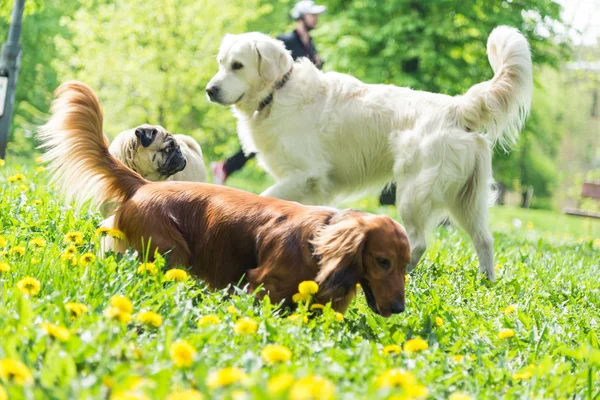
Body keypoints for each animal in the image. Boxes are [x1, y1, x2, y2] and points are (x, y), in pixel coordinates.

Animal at [38, 81, 412, 318]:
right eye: (382, 261)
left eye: (406, 264)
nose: (399, 309)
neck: (318, 240)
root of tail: (142, 185)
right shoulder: (263, 285)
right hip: (169, 255)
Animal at [207, 27, 536, 282]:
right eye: (221, 63)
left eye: (238, 65)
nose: (210, 90)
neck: (278, 91)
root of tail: (457, 107)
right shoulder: (313, 187)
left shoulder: (305, 174)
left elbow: (265, 197)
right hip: (467, 199)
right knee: (484, 239)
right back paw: (487, 280)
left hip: (413, 192)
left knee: (418, 242)